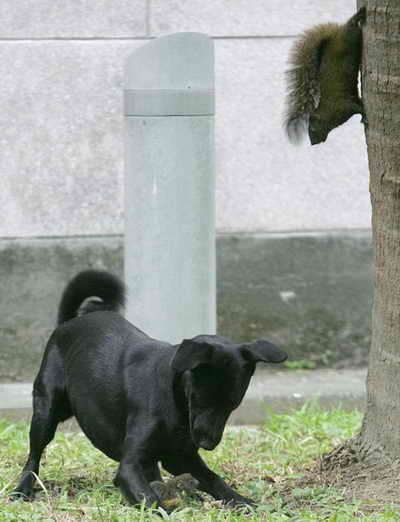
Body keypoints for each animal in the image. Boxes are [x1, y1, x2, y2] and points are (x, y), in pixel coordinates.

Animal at [13, 270, 288, 506]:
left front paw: (241, 501)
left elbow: (213, 479)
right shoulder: (130, 465)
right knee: (33, 457)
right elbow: (150, 498)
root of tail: (69, 322)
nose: (208, 443)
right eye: (201, 400)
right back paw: (22, 488)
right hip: (46, 411)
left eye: (232, 405)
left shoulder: (181, 456)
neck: (175, 399)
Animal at [284, 7, 366, 146]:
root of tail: (335, 34)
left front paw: (364, 116)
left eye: (312, 129)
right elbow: (358, 103)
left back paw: (358, 15)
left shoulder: (343, 105)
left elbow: (357, 108)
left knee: (351, 26)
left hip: (349, 38)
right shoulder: (349, 101)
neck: (328, 110)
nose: (313, 143)